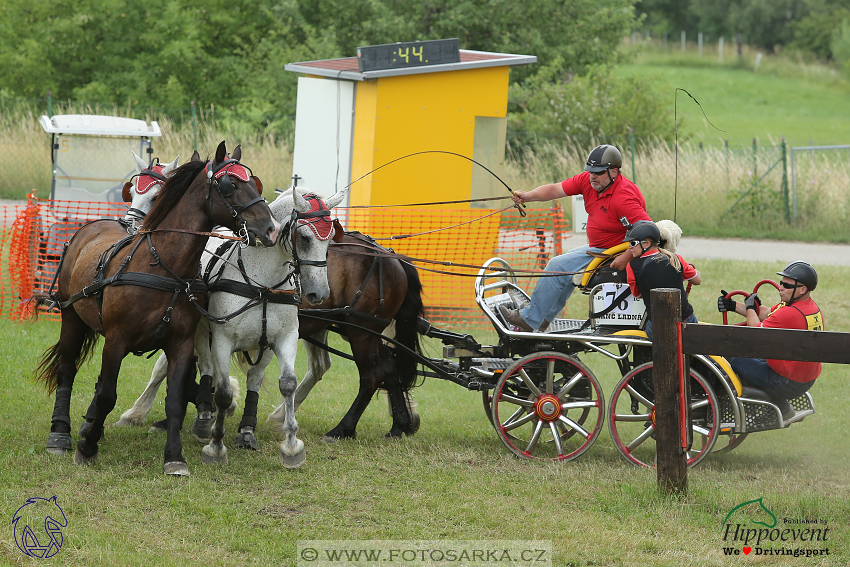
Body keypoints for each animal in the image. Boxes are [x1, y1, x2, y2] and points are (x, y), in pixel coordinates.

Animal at [32, 141, 278, 474]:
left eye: (254, 182)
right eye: (231, 185)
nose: (271, 229)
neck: (164, 266)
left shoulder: (181, 343)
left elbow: (174, 397)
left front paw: (174, 456)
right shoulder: (117, 339)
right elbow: (107, 393)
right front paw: (87, 446)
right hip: (71, 317)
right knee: (67, 370)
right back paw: (60, 432)